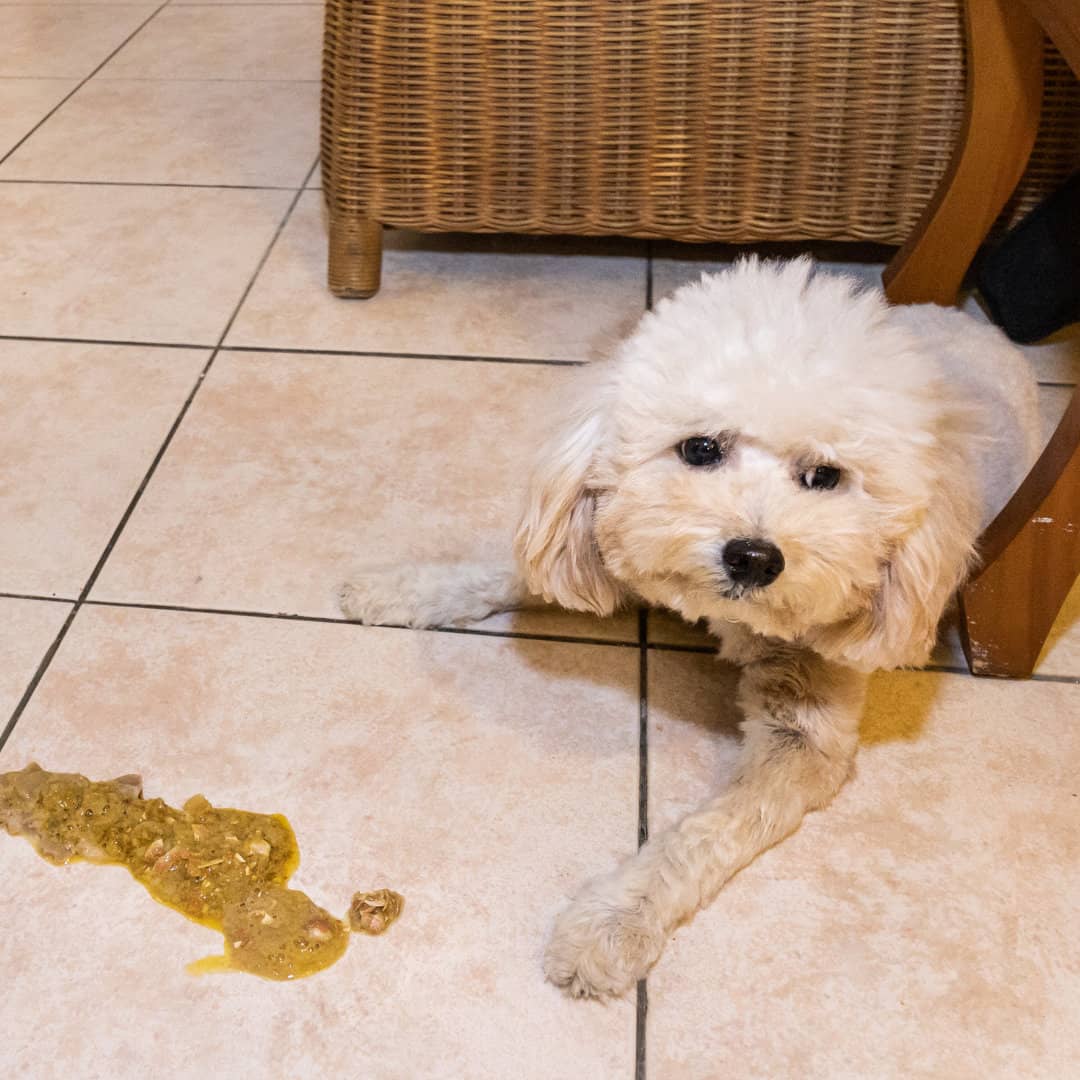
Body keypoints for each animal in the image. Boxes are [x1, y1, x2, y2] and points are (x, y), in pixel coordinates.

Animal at [341, 257, 1041, 997]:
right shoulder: (611, 546)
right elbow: (515, 572)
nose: (754, 557)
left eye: (825, 475)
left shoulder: (806, 737)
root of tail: (977, 327)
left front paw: (614, 922)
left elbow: (705, 835)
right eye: (700, 448)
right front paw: (403, 587)